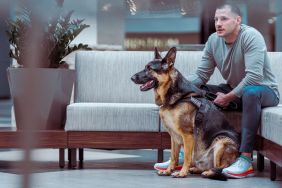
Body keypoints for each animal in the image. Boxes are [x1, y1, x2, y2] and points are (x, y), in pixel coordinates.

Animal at [131, 47, 239, 179]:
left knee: (221, 167)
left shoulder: (187, 135)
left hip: (221, 142)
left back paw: (208, 172)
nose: (131, 78)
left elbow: (187, 157)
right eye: (145, 67)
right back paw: (196, 169)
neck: (175, 97)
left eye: (149, 68)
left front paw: (182, 172)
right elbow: (174, 157)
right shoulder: (174, 136)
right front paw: (168, 170)